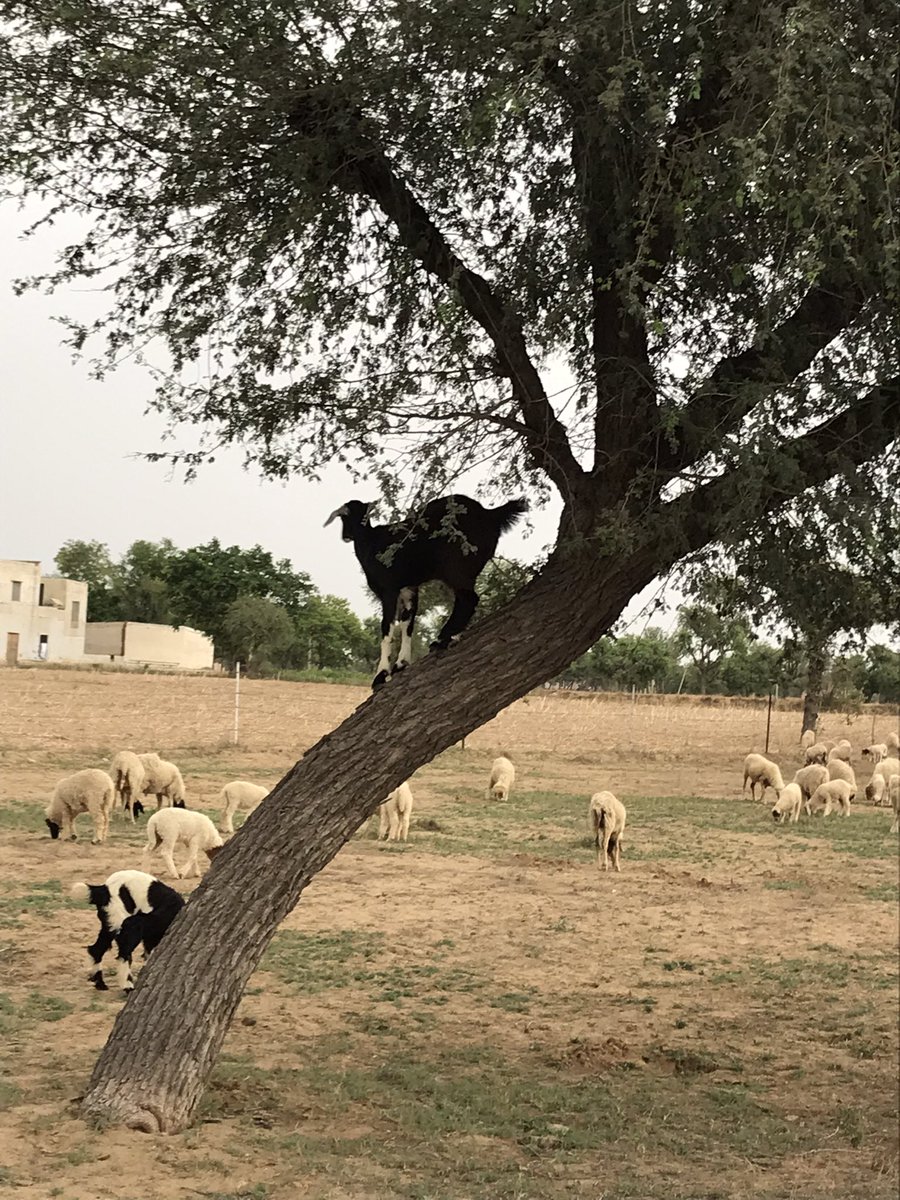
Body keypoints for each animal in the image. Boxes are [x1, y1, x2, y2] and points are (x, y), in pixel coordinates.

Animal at [325, 493, 528, 689]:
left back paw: (442, 639)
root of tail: (490, 515)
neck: (369, 539)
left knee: (469, 599)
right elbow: (407, 623)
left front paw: (380, 676)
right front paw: (401, 664)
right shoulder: (409, 589)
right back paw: (448, 637)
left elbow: (387, 628)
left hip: (456, 567)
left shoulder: (389, 589)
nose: (346, 536)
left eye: (344, 516)